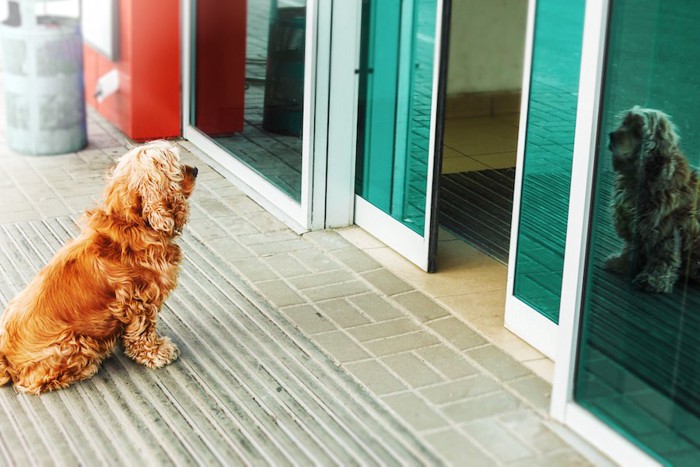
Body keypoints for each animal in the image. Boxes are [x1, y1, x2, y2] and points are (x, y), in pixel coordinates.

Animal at [0, 141, 197, 394]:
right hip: (75, 342)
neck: (131, 224)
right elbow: (143, 333)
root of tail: (5, 355)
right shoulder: (140, 300)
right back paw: (88, 367)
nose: (196, 170)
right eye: (176, 167)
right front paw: (157, 352)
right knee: (33, 382)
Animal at [604, 108, 696, 294]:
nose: (611, 135)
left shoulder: (664, 229)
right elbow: (632, 247)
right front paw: (622, 262)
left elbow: (663, 257)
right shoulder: (635, 223)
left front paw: (653, 280)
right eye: (624, 123)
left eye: (638, 130)